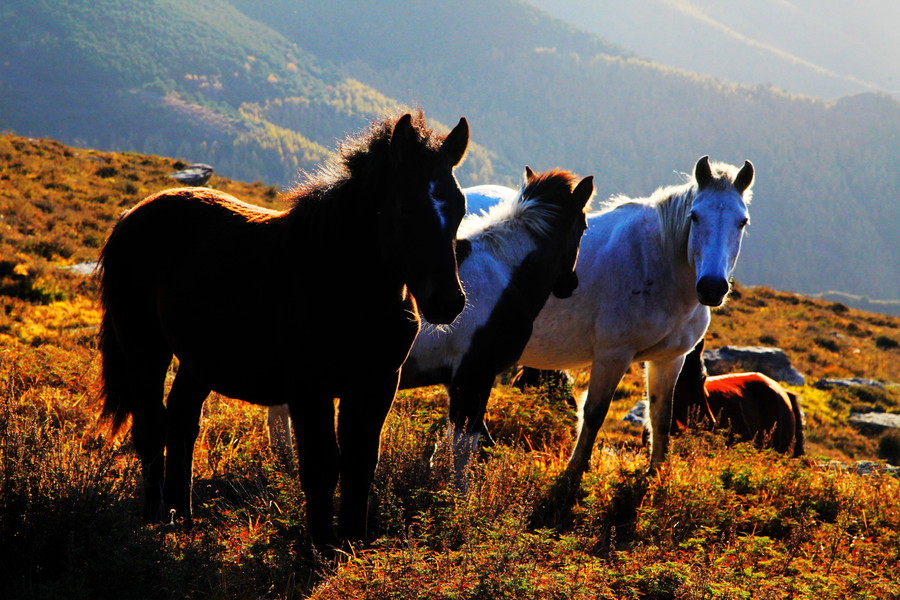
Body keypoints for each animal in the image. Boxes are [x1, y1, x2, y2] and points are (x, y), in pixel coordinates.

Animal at [99, 112, 472, 548]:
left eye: (460, 207)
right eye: (406, 207)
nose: (447, 302)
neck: (342, 283)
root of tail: (131, 215)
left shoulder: (376, 384)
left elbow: (361, 463)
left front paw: (352, 546)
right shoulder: (308, 387)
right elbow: (321, 465)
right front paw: (320, 549)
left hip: (197, 359)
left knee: (182, 421)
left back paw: (181, 519)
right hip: (144, 349)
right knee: (151, 427)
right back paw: (154, 519)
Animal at [464, 156, 752, 478]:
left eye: (742, 221)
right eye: (695, 216)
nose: (712, 288)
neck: (656, 265)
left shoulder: (669, 359)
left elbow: (660, 415)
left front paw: (656, 472)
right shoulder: (612, 355)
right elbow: (594, 412)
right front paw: (575, 469)